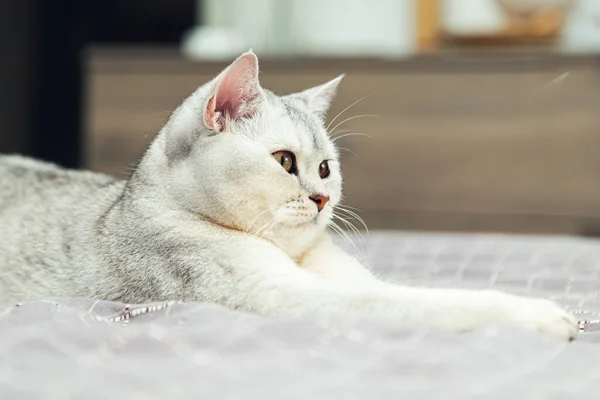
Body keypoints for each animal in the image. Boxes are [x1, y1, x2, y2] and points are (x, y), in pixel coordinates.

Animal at [0, 50, 576, 340]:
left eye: (325, 169)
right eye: (284, 162)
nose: (321, 200)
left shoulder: (349, 280)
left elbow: (416, 293)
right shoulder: (283, 297)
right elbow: (427, 305)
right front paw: (542, 317)